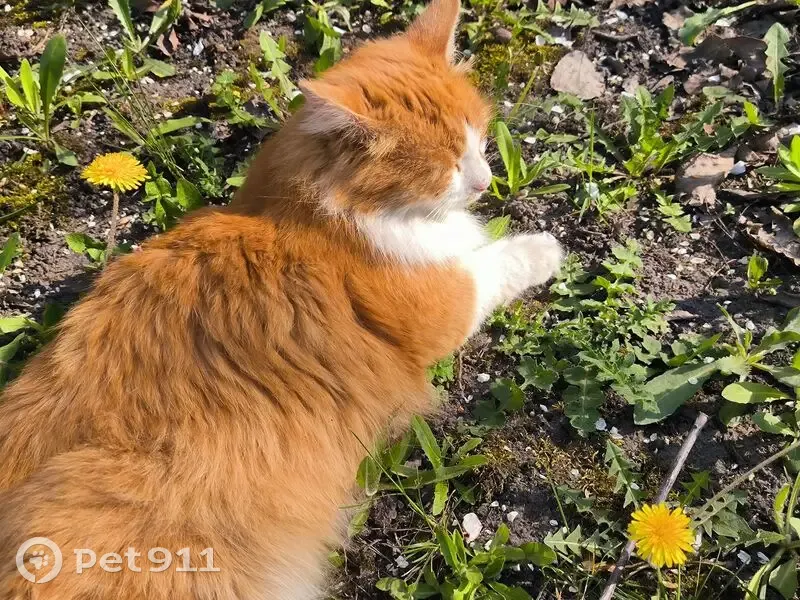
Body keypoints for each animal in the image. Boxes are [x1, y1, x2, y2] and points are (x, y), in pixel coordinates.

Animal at [0, 0, 563, 598]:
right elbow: (497, 263)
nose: (483, 181)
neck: (305, 214)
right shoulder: (443, 304)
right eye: (445, 167)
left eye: (477, 139)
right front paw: (546, 248)